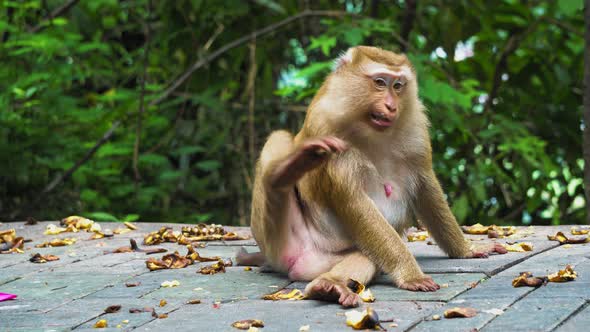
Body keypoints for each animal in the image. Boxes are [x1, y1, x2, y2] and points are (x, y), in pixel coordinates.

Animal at [238, 45, 506, 308]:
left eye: (397, 86)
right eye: (379, 82)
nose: (391, 106)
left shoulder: (416, 130)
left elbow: (426, 188)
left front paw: (466, 249)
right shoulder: (327, 126)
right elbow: (353, 200)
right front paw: (412, 276)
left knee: (366, 256)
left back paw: (329, 285)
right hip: (275, 240)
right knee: (279, 140)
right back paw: (285, 171)